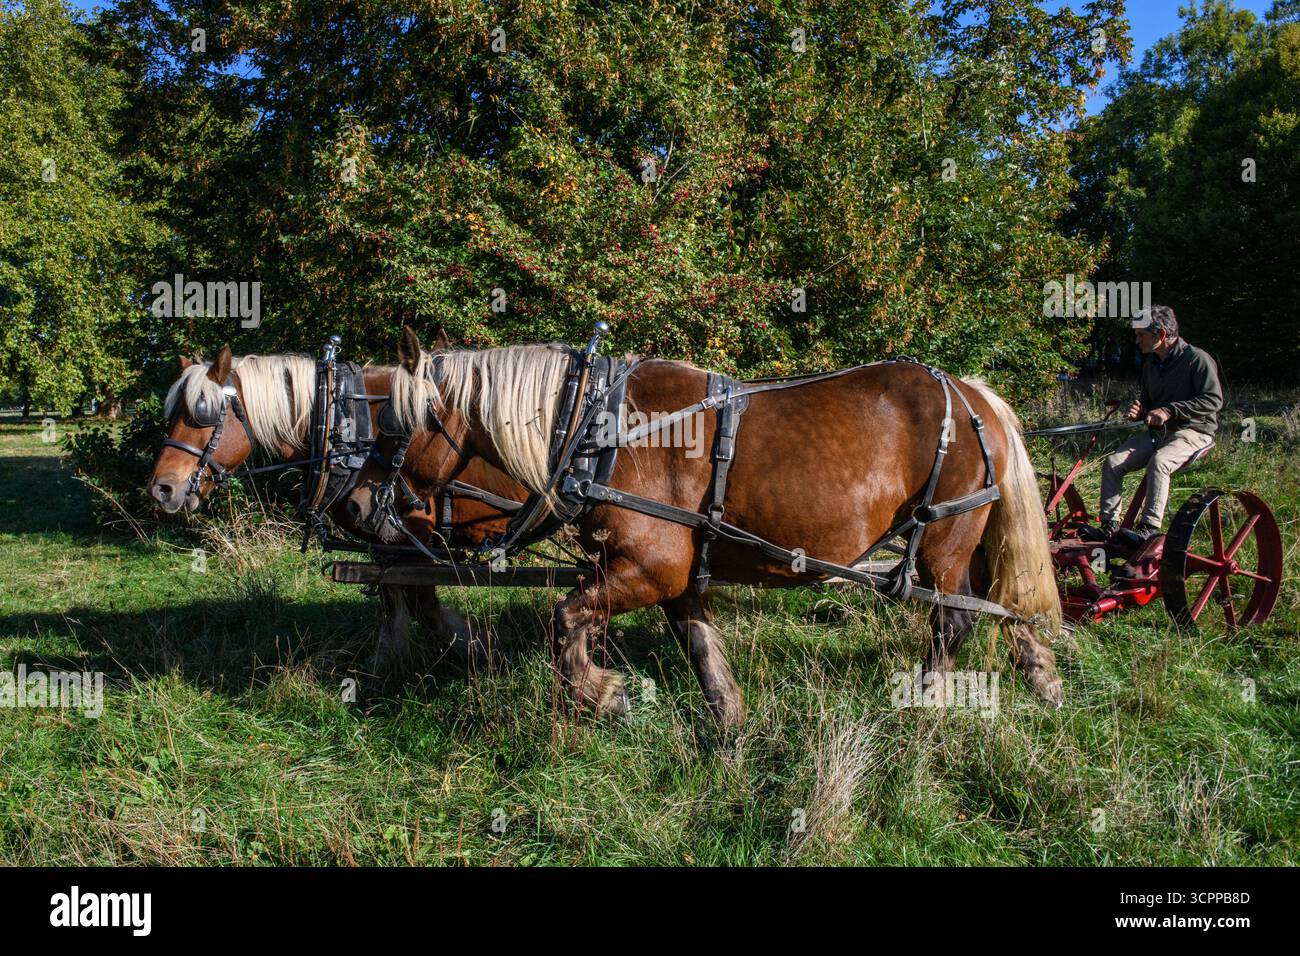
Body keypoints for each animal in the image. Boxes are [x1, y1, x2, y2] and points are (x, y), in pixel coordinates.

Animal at [147, 339, 530, 673]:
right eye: (173, 414)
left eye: (203, 414)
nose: (161, 489)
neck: (344, 424)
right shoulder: (382, 540)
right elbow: (392, 600)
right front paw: (387, 662)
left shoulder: (410, 533)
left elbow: (425, 606)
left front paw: (483, 647)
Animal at [346, 327, 1063, 727]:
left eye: (396, 425)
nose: (353, 505)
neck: (596, 431)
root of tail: (972, 394)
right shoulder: (673, 571)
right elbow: (697, 644)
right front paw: (729, 720)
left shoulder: (648, 567)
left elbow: (563, 623)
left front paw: (606, 696)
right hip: (970, 542)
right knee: (999, 602)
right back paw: (1043, 678)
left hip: (943, 540)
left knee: (955, 620)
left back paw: (927, 704)